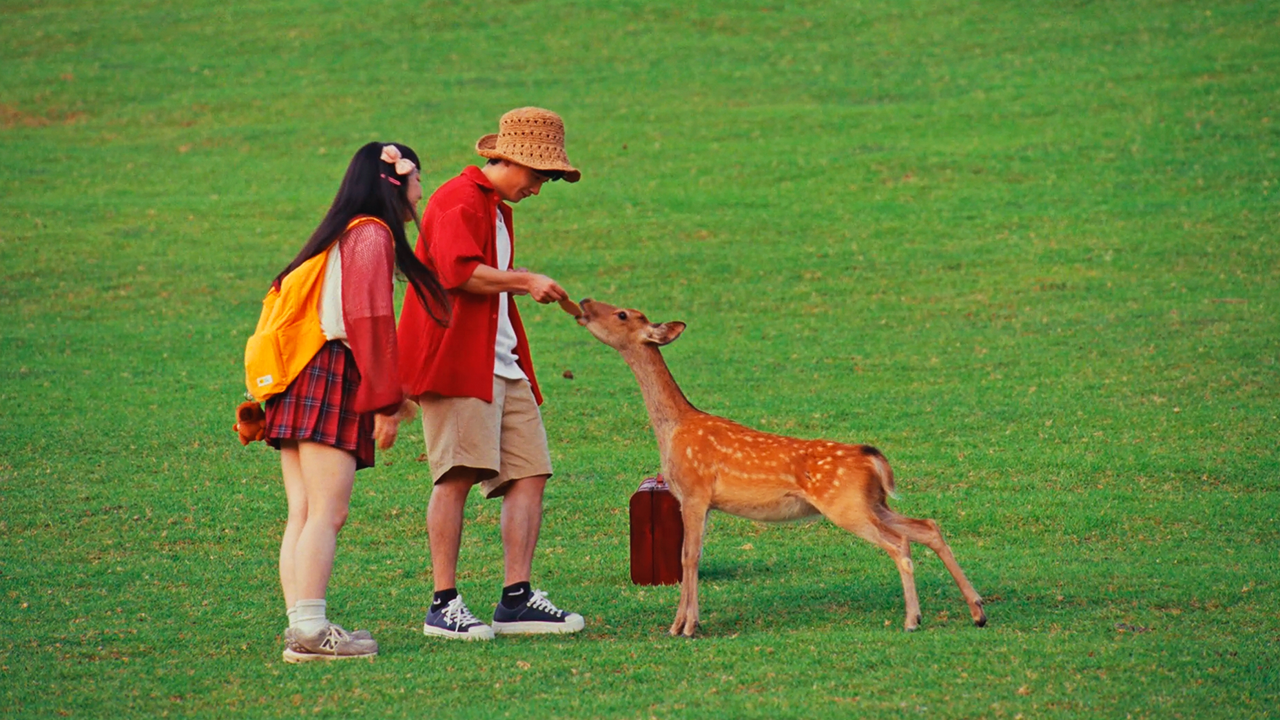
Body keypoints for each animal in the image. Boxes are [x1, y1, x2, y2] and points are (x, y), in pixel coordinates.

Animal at [575, 298, 987, 637]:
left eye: (622, 313)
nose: (583, 302)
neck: (673, 428)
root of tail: (871, 457)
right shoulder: (703, 503)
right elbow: (696, 556)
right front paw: (686, 622)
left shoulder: (693, 492)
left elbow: (687, 557)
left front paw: (685, 627)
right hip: (872, 501)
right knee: (927, 527)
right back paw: (977, 611)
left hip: (845, 505)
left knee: (899, 542)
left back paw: (912, 620)